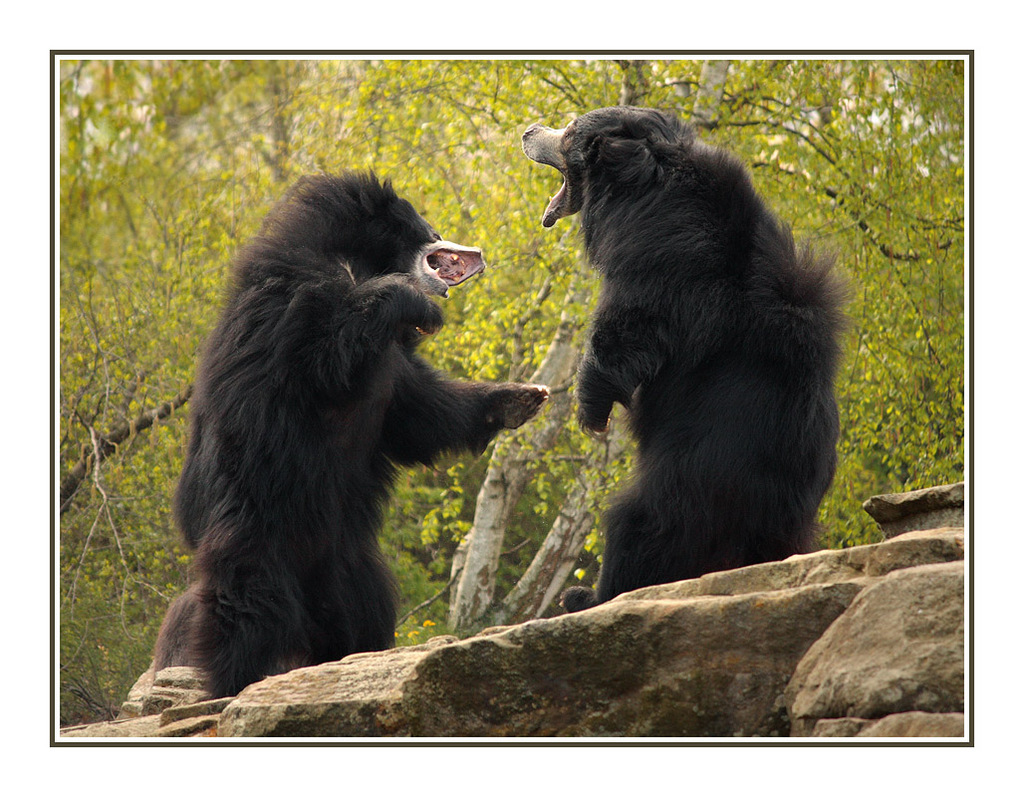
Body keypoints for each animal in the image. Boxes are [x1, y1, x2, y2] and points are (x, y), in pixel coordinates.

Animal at [154, 172, 549, 697]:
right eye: (427, 225)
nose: (476, 252)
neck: (358, 263)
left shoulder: (393, 371)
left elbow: (416, 411)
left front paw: (521, 397)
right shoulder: (294, 301)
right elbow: (326, 356)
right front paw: (418, 305)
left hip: (343, 553)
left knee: (363, 605)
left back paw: (350, 656)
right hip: (255, 515)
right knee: (245, 600)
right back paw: (232, 682)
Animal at [522, 106, 846, 612]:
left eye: (569, 130)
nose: (528, 131)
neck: (648, 181)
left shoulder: (665, 265)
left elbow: (627, 326)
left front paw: (591, 411)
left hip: (690, 475)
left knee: (642, 527)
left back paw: (588, 596)